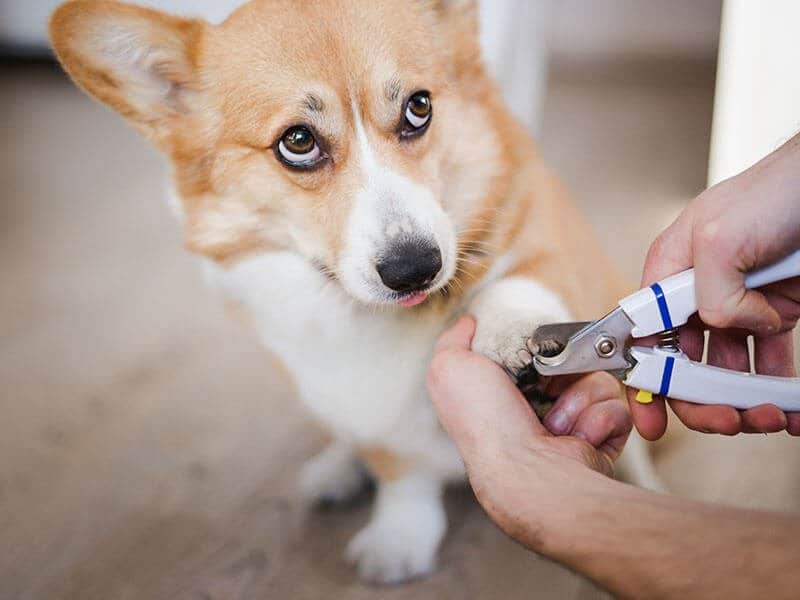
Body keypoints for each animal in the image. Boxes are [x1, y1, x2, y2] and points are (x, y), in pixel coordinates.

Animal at [50, 0, 656, 584]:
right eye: (297, 141)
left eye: (419, 108)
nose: (416, 269)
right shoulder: (356, 401)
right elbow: (401, 473)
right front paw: (400, 538)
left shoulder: (547, 240)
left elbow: (522, 281)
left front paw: (510, 332)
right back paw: (336, 469)